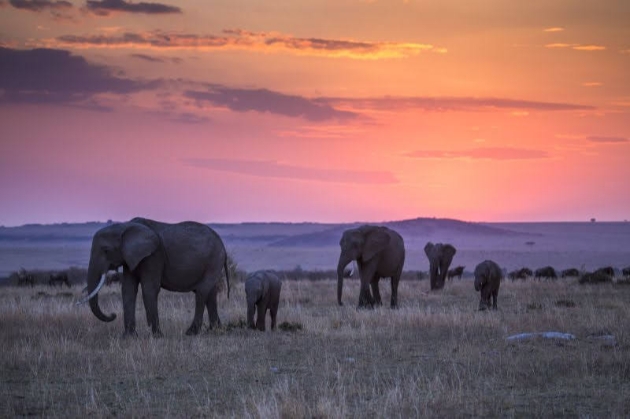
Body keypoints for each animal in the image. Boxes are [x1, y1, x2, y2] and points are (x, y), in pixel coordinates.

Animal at [76, 217, 230, 338]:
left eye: (106, 250)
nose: (113, 315)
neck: (125, 226)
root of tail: (223, 245)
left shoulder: (153, 256)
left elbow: (149, 289)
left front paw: (157, 335)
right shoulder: (130, 258)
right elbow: (128, 289)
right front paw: (129, 337)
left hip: (214, 260)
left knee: (202, 292)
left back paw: (191, 332)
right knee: (210, 293)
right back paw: (215, 330)